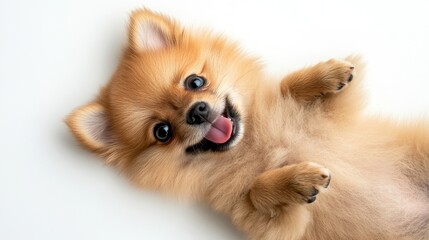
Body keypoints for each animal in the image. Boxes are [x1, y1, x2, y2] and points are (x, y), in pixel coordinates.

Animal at [65, 8, 426, 240]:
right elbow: (258, 189)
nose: (197, 112)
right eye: (162, 132)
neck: (252, 142)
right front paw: (299, 179)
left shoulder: (334, 117)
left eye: (195, 82)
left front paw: (327, 73)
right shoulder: (264, 219)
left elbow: (288, 86)